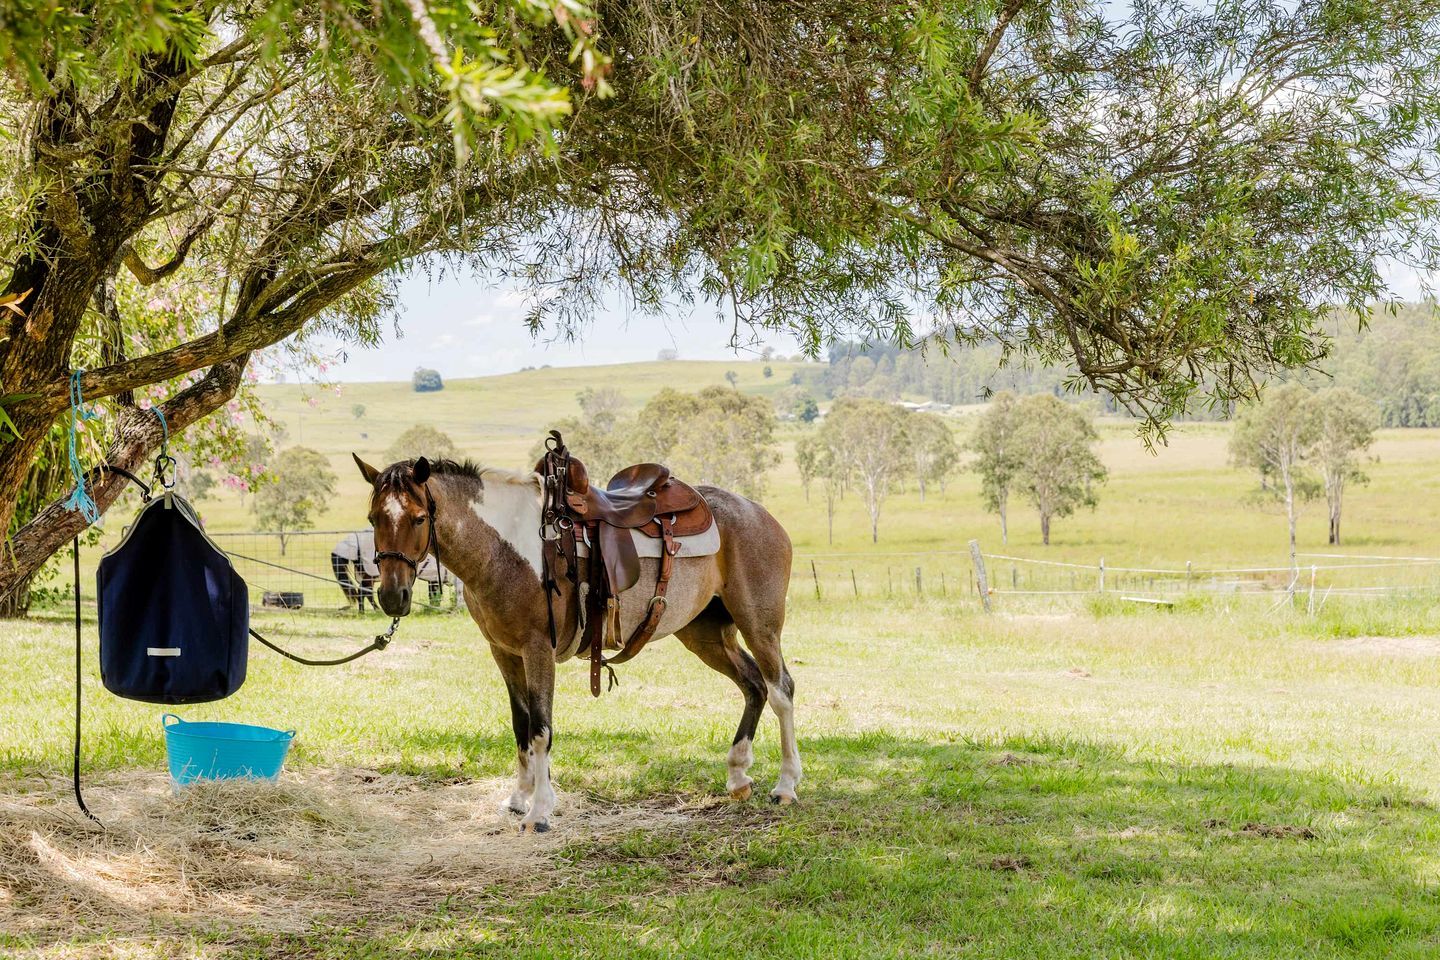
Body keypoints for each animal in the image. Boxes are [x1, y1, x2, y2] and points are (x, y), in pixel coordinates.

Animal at [351, 452, 802, 833]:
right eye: (373, 518)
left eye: (419, 518)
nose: (392, 596)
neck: (505, 548)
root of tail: (759, 513)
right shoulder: (505, 652)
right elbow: (520, 725)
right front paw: (519, 798)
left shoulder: (538, 649)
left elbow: (540, 730)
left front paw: (539, 811)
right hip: (705, 634)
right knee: (753, 685)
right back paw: (738, 775)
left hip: (758, 624)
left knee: (780, 689)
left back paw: (785, 785)